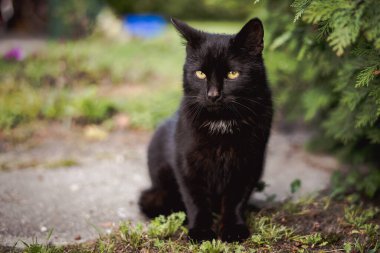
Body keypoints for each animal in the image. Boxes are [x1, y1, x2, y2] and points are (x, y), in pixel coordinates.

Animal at [140, 17, 274, 243]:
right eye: (200, 74)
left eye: (232, 74)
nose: (213, 95)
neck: (221, 122)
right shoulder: (188, 163)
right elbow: (197, 201)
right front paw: (201, 231)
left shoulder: (249, 162)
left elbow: (236, 199)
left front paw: (233, 229)